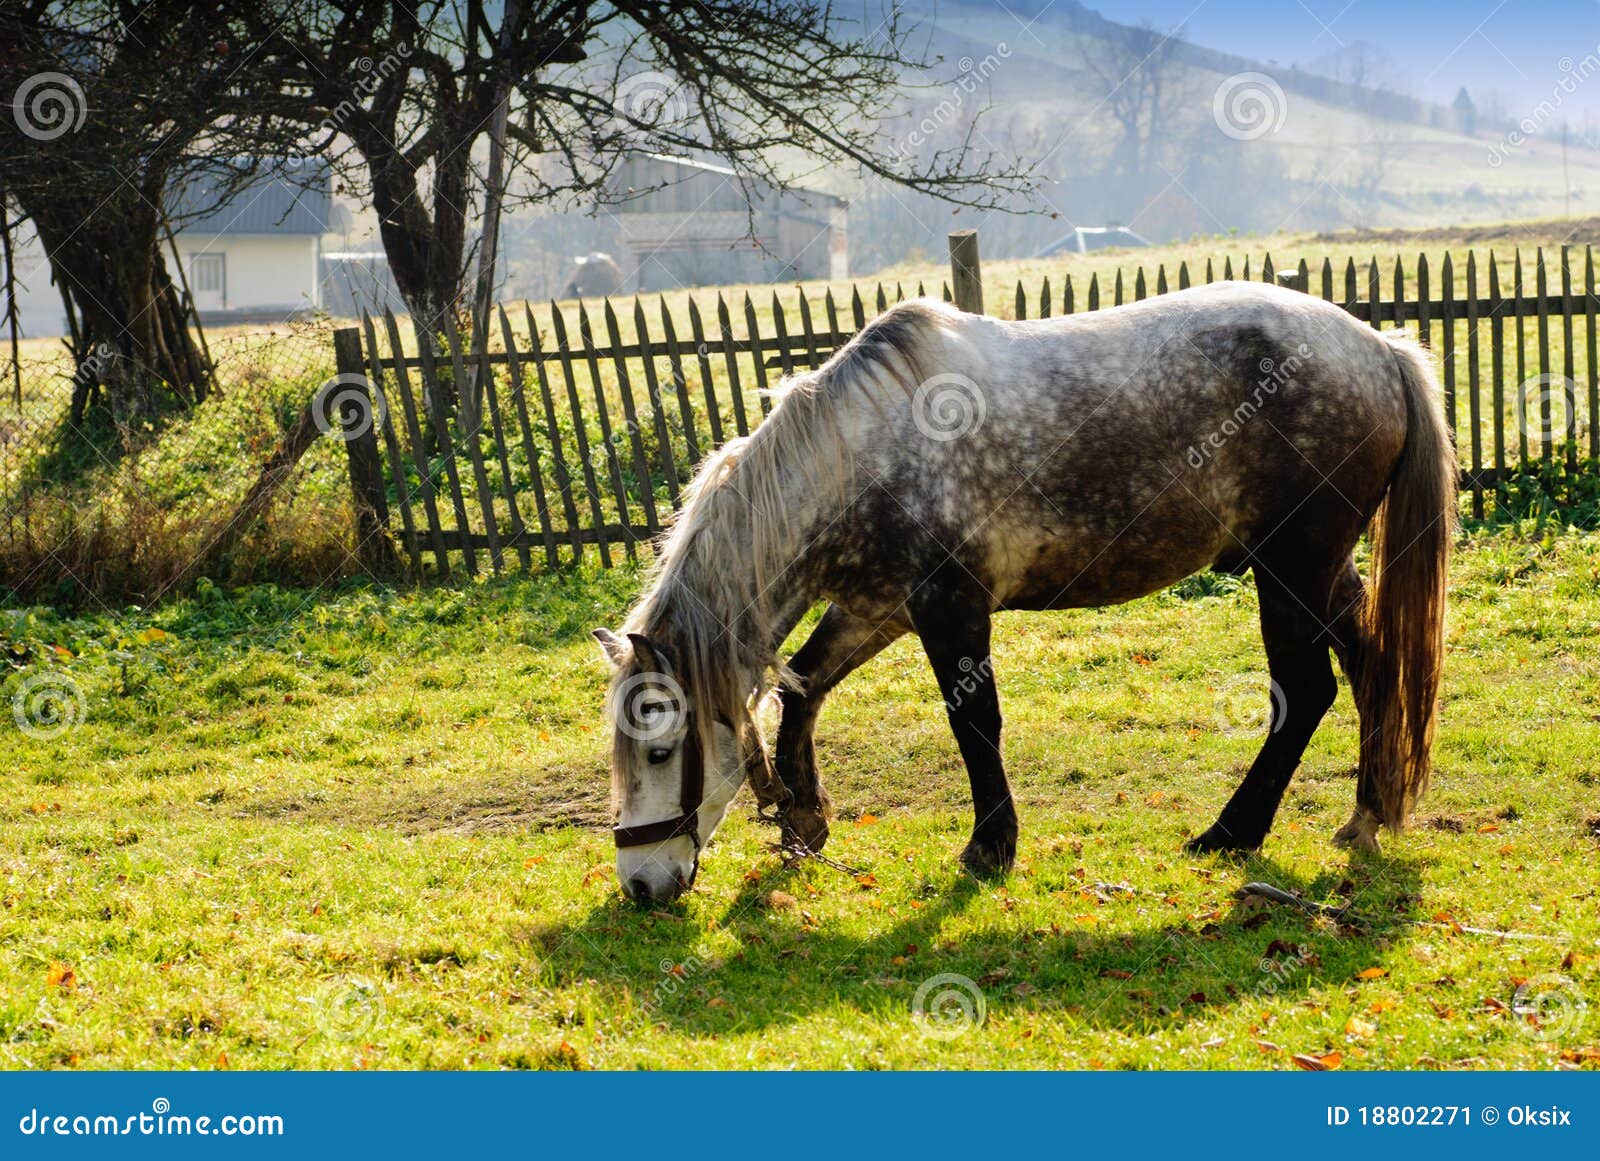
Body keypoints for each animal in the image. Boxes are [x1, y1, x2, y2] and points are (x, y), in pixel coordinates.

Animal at [595, 284, 1459, 908]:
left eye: (662, 748)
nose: (640, 885)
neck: (861, 453)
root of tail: (1382, 350)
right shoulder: (881, 607)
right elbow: (800, 688)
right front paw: (806, 818)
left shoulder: (950, 606)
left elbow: (974, 722)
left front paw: (989, 847)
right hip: (1320, 573)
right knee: (1372, 664)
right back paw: (1366, 816)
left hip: (1290, 572)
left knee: (1305, 692)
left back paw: (1231, 832)